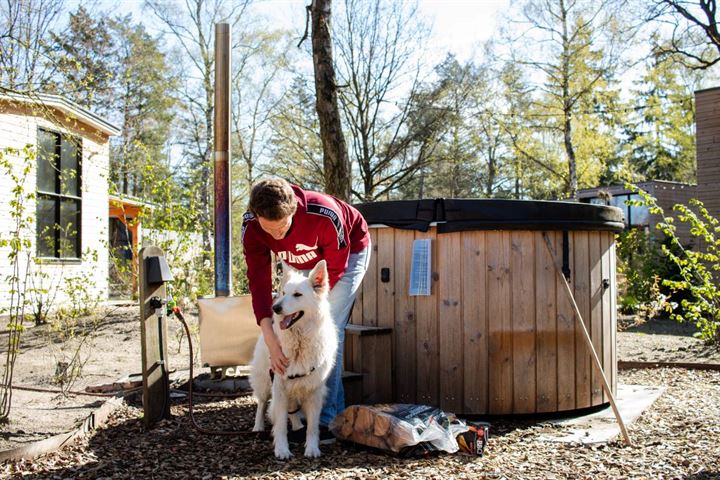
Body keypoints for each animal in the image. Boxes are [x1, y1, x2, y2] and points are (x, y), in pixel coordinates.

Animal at [249, 260, 338, 460]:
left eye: (297, 295)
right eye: (283, 293)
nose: (275, 308)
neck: (299, 341)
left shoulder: (314, 391)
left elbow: (312, 427)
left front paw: (312, 448)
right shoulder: (279, 386)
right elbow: (281, 424)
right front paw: (282, 450)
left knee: (292, 411)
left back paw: (298, 426)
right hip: (265, 382)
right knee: (261, 403)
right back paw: (258, 426)